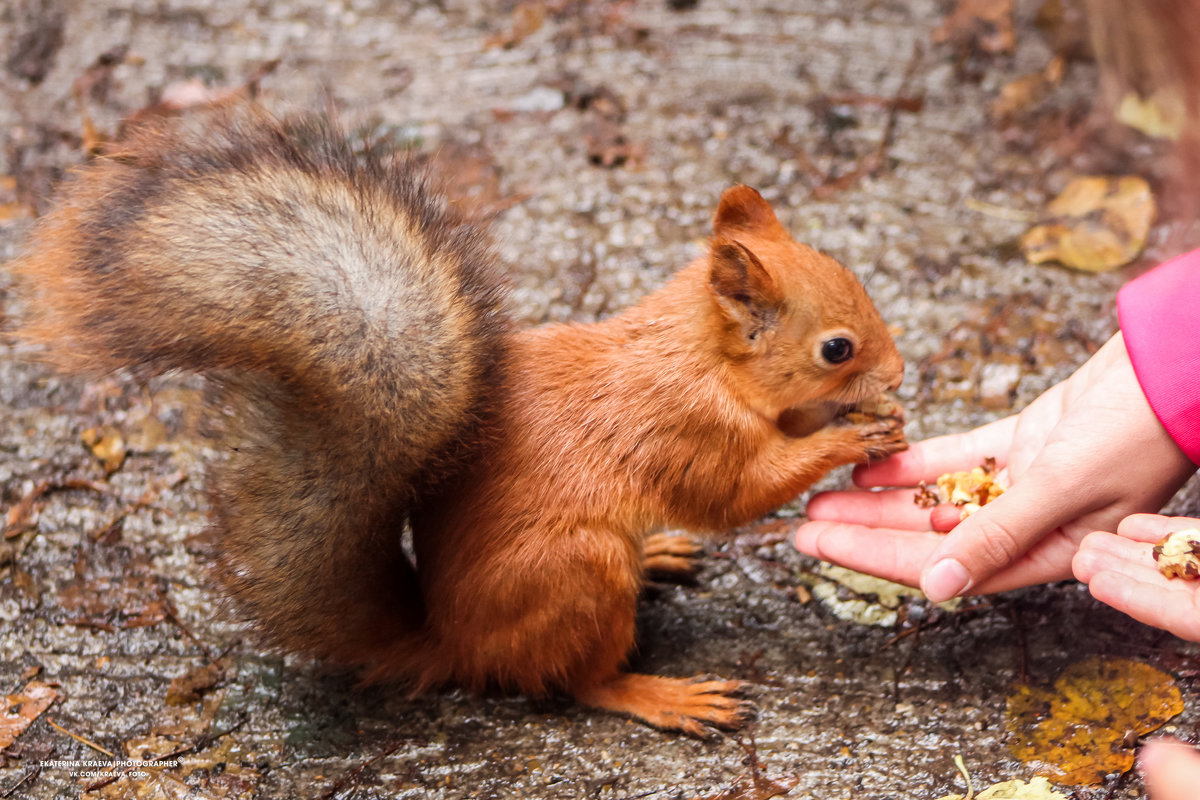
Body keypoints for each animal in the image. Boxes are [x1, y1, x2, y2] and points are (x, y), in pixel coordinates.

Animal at [14, 104, 902, 738]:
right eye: (835, 346)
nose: (898, 372)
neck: (702, 355)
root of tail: (453, 641)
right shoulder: (688, 430)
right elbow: (741, 491)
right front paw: (850, 432)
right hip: (574, 572)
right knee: (576, 682)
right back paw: (656, 693)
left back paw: (657, 555)